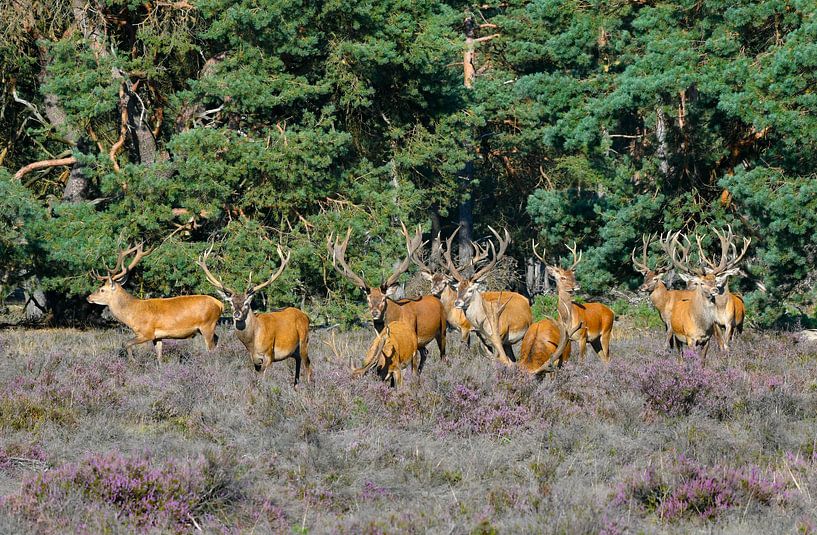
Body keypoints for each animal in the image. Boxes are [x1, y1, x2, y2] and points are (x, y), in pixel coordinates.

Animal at [87, 243, 223, 362]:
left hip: (208, 324)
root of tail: (220, 304)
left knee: (211, 347)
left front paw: (133, 362)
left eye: (102, 289)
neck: (133, 314)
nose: (88, 297)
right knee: (216, 340)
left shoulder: (147, 332)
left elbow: (125, 343)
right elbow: (159, 355)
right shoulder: (158, 336)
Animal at [197, 243, 311, 386]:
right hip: (294, 351)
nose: (237, 314)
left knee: (308, 365)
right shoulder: (254, 359)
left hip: (304, 341)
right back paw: (296, 386)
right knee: (299, 362)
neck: (253, 342)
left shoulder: (269, 354)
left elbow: (263, 379)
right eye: (231, 302)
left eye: (247, 303)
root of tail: (306, 316)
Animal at [327, 224, 446, 371]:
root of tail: (437, 299)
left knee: (442, 355)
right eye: (368, 299)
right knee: (425, 353)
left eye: (384, 299)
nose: (375, 313)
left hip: (442, 330)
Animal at [442, 227, 532, 366]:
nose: (457, 302)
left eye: (470, 290)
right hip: (508, 342)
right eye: (457, 288)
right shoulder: (483, 338)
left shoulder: (500, 336)